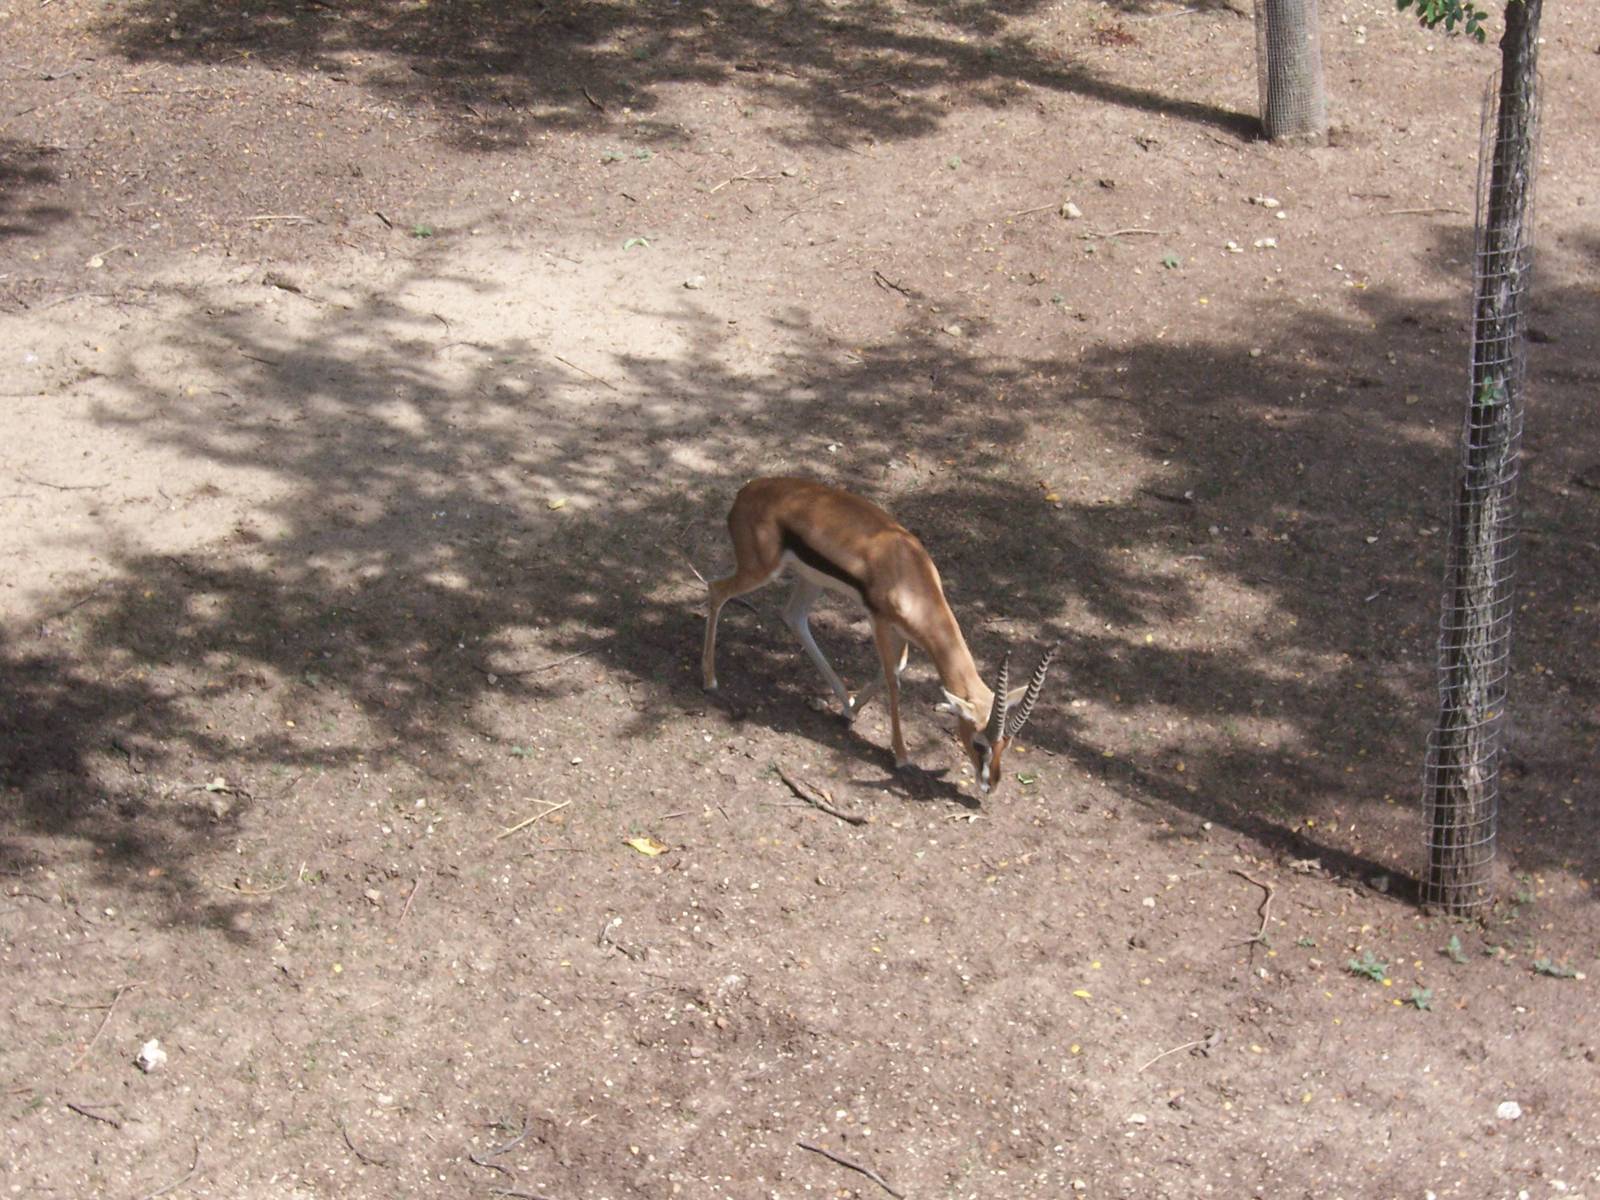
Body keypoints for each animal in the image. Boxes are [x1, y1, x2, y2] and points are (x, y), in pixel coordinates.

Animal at [701, 477, 1058, 794]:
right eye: (979, 742)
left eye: (1007, 743)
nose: (991, 786)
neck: (909, 574)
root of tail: (746, 491)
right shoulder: (880, 623)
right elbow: (892, 680)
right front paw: (901, 756)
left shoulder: (905, 633)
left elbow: (896, 669)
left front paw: (851, 710)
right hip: (761, 570)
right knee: (717, 590)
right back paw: (710, 680)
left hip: (810, 579)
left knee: (793, 617)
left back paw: (841, 701)